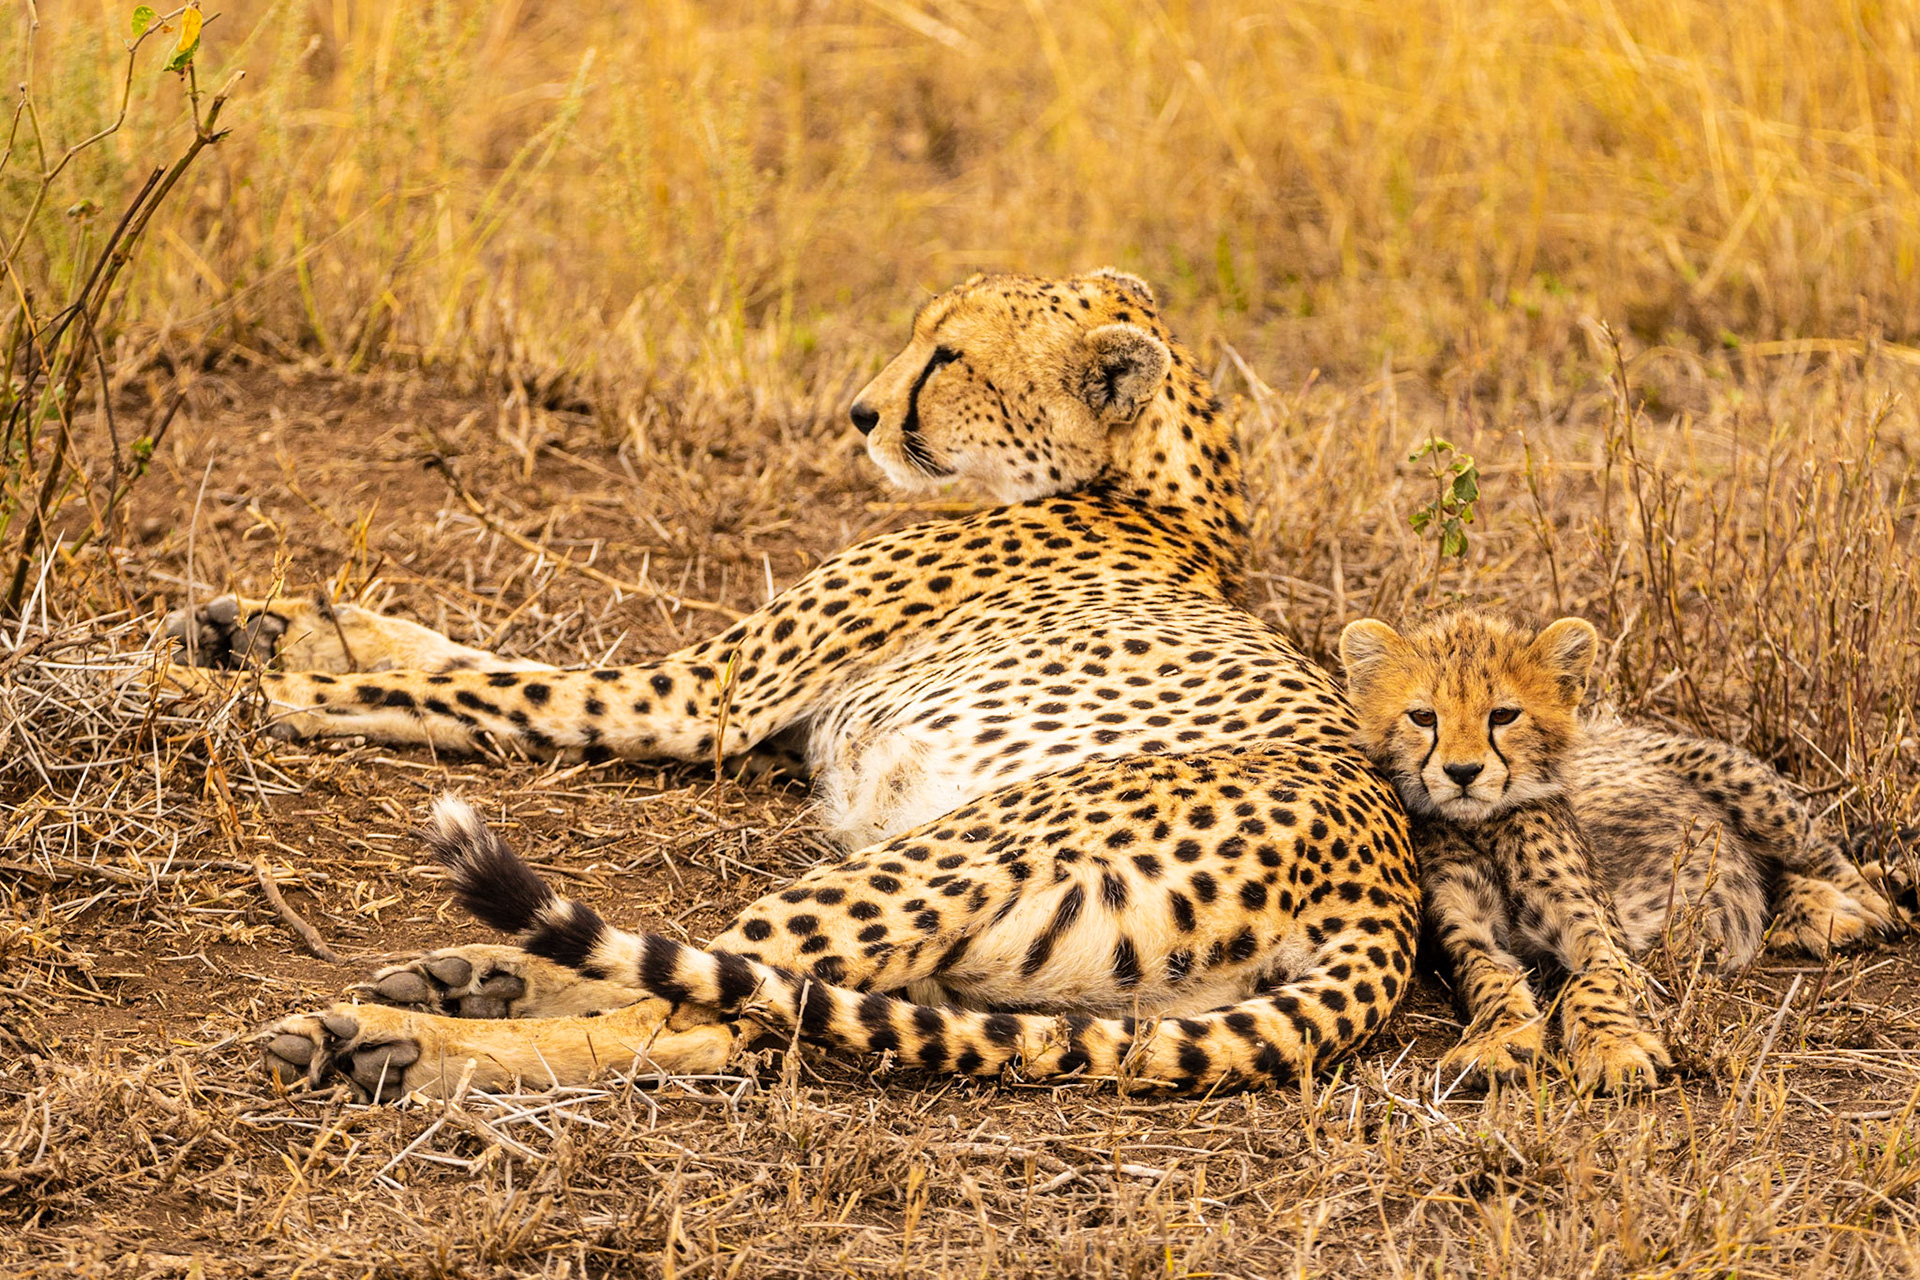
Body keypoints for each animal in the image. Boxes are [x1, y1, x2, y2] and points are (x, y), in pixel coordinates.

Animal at [168, 268, 1424, 1100]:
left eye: (950, 357)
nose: (862, 412)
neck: (1158, 485)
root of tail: (1388, 889)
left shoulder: (699, 700)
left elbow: (497, 689)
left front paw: (233, 692)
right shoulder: (742, 705)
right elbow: (462, 654)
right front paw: (274, 625)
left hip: (940, 856)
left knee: (715, 1014)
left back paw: (394, 1037)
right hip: (1006, 981)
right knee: (727, 989)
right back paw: (463, 976)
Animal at [1338, 609, 1903, 1091]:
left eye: (1502, 714)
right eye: (1422, 717)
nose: (1461, 772)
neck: (1485, 828)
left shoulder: (1598, 934)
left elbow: (1595, 986)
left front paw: (1613, 1050)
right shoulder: (1470, 936)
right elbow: (1492, 983)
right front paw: (1498, 1043)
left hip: (1747, 788)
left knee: (1819, 855)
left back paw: (1862, 908)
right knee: (1771, 877)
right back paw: (1819, 914)